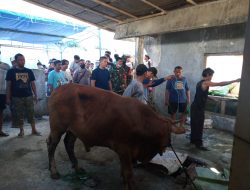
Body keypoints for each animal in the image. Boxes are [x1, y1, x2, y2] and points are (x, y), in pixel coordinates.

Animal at [47, 83, 183, 190]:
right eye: (167, 133)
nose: (167, 144)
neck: (142, 121)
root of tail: (58, 89)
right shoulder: (124, 149)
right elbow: (128, 172)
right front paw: (131, 187)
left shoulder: (126, 153)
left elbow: (124, 171)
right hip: (57, 128)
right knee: (51, 145)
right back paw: (54, 171)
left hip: (73, 130)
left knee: (68, 143)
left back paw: (77, 168)